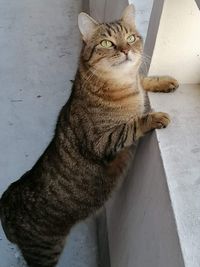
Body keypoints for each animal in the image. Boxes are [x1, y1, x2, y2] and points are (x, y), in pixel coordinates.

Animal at [0, 4, 178, 267]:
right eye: (107, 43)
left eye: (131, 38)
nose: (126, 50)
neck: (121, 84)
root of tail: (6, 202)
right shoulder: (101, 142)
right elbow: (131, 125)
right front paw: (154, 117)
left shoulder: (136, 82)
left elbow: (142, 79)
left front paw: (163, 81)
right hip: (44, 251)